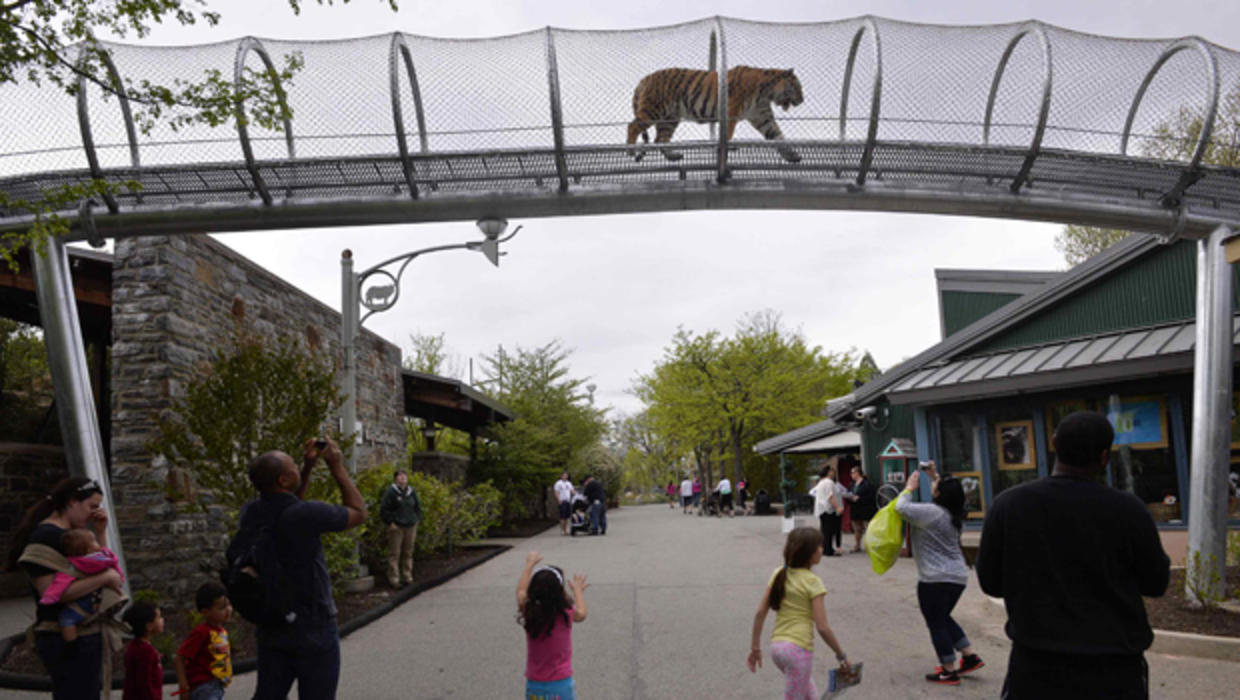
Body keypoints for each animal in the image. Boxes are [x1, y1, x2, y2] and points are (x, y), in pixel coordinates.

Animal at [629, 64, 803, 163]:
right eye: (796, 86)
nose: (802, 100)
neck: (766, 93)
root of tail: (644, 79)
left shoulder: (762, 117)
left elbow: (778, 136)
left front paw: (793, 156)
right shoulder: (731, 112)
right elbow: (728, 134)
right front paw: (725, 151)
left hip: (670, 119)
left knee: (660, 139)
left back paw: (673, 156)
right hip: (654, 109)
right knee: (633, 126)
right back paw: (630, 150)